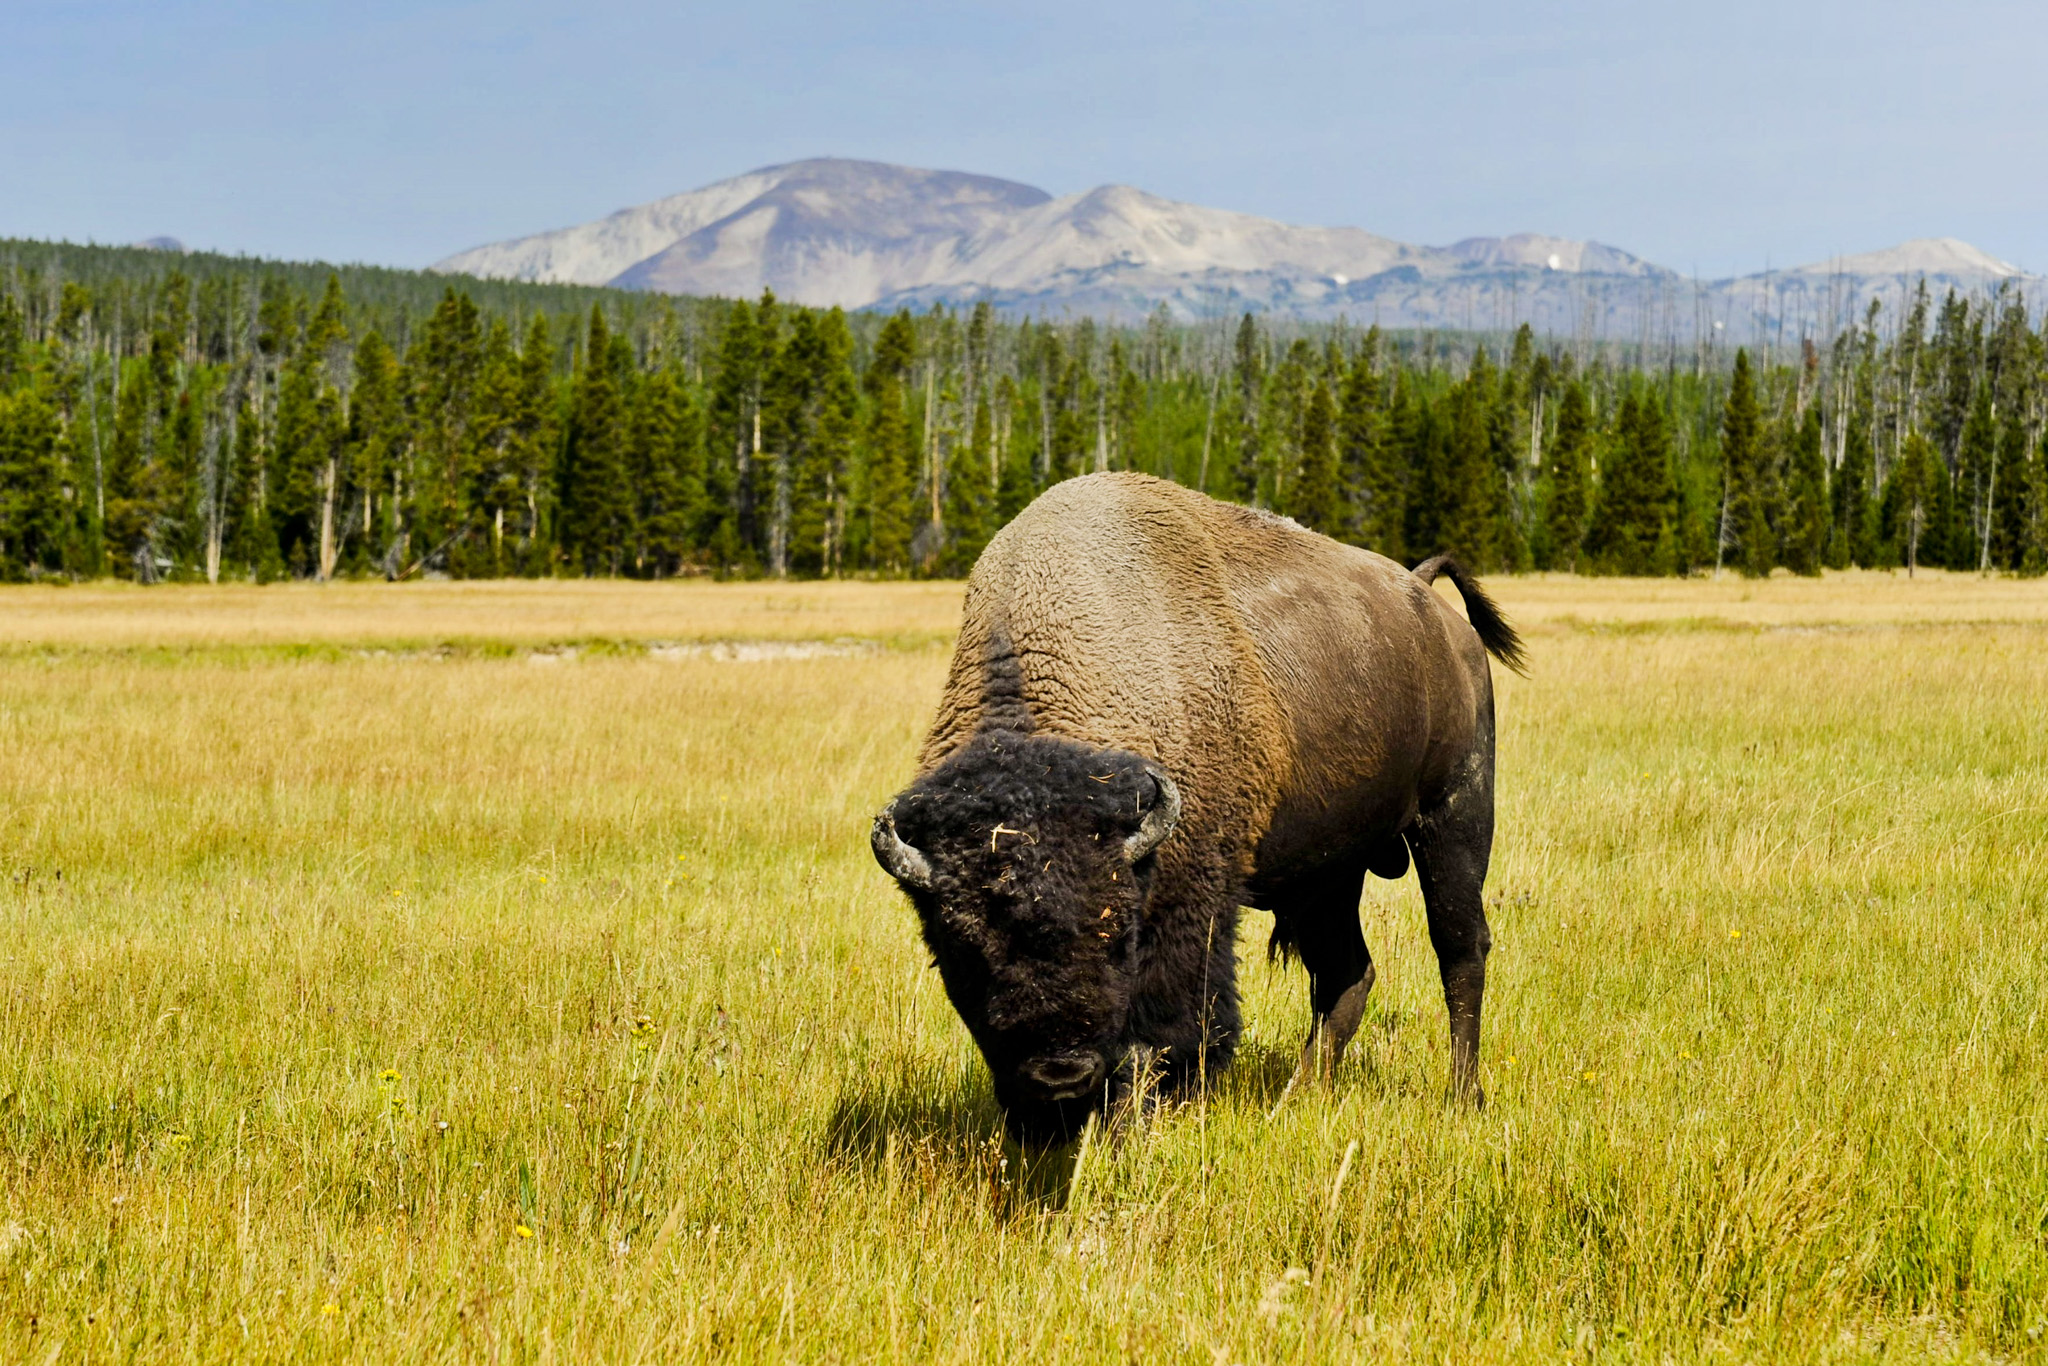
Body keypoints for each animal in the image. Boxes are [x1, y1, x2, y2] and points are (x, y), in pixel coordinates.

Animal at [871, 473, 1524, 1144]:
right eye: (963, 951)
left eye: (1118, 938)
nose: (1060, 1077)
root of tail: (1430, 606)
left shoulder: (1190, 897)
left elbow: (1167, 1024)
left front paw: (1140, 1119)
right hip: (1329, 871)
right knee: (1347, 972)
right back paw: (1296, 1097)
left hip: (1455, 816)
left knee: (1460, 948)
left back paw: (1462, 1098)